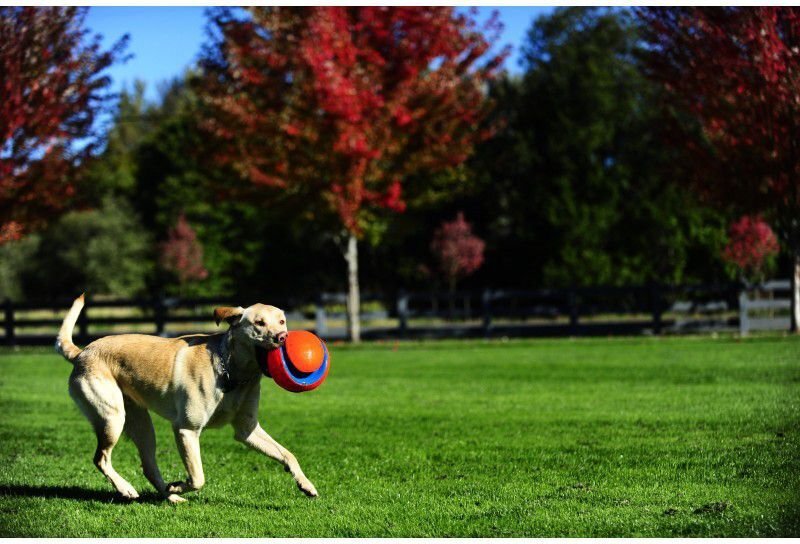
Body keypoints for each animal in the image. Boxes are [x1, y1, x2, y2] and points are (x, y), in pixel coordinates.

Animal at [56, 296, 318, 504]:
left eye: (281, 321)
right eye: (259, 323)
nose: (282, 337)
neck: (232, 372)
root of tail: (82, 352)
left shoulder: (247, 430)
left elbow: (288, 454)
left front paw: (306, 484)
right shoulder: (187, 430)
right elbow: (198, 477)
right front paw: (179, 484)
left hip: (141, 425)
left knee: (148, 467)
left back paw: (170, 497)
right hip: (113, 418)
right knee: (101, 459)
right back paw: (127, 488)